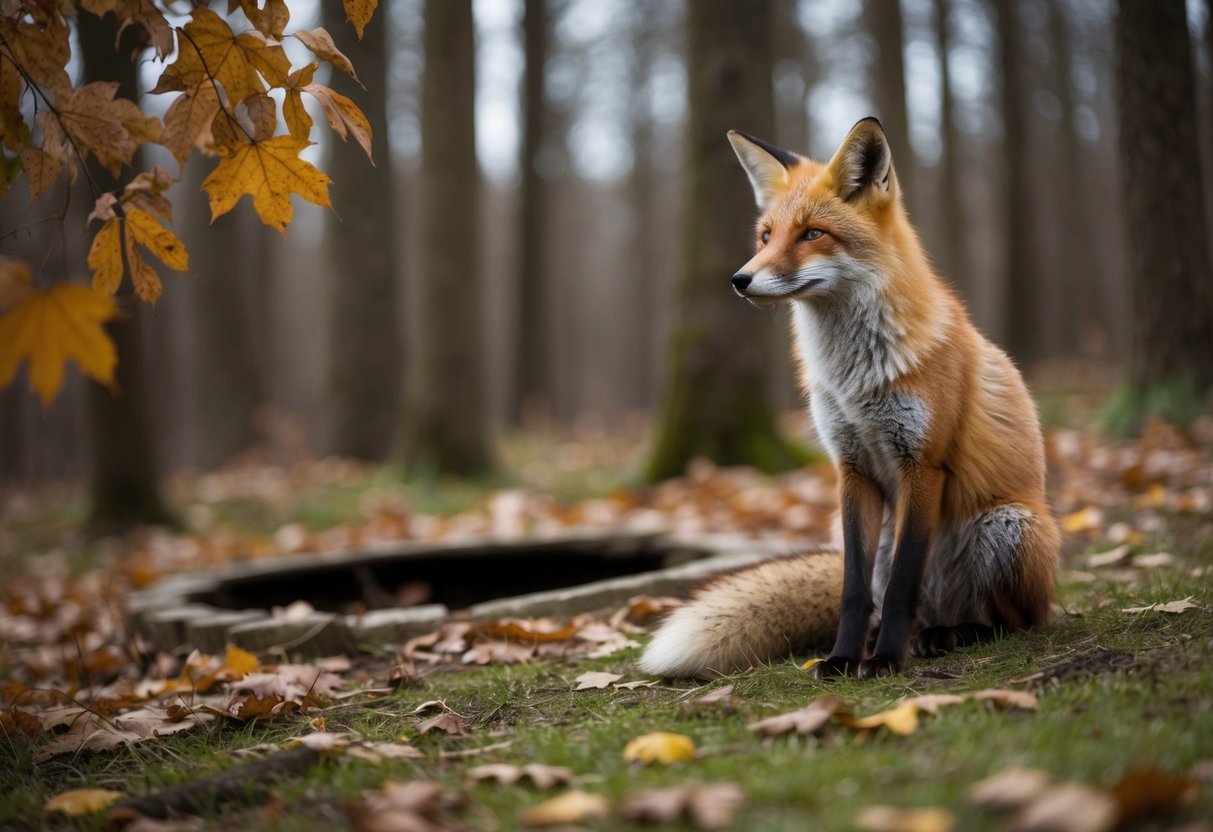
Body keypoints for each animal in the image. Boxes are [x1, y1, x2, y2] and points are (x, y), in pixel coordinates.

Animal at [639, 117, 1060, 680]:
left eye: (813, 234)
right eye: (766, 236)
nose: (740, 279)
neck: (853, 379)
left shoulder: (922, 465)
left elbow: (903, 583)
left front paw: (882, 662)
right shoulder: (852, 467)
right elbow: (853, 592)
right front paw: (843, 656)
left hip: (1009, 526)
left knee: (1015, 619)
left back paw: (950, 635)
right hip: (882, 535)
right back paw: (903, 636)